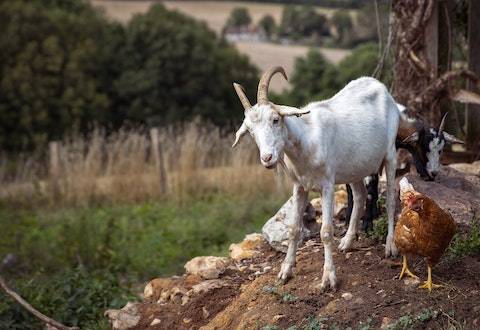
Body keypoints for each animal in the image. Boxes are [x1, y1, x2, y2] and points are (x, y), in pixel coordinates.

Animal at [234, 67, 400, 288]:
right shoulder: (299, 186)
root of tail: (380, 86)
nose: (267, 158)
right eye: (251, 131)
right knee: (360, 195)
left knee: (390, 200)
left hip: (390, 153)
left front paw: (329, 277)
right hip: (354, 167)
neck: (307, 139)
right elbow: (294, 229)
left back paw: (390, 247)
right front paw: (285, 271)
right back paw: (347, 242)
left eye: (275, 119)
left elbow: (326, 231)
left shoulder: (327, 186)